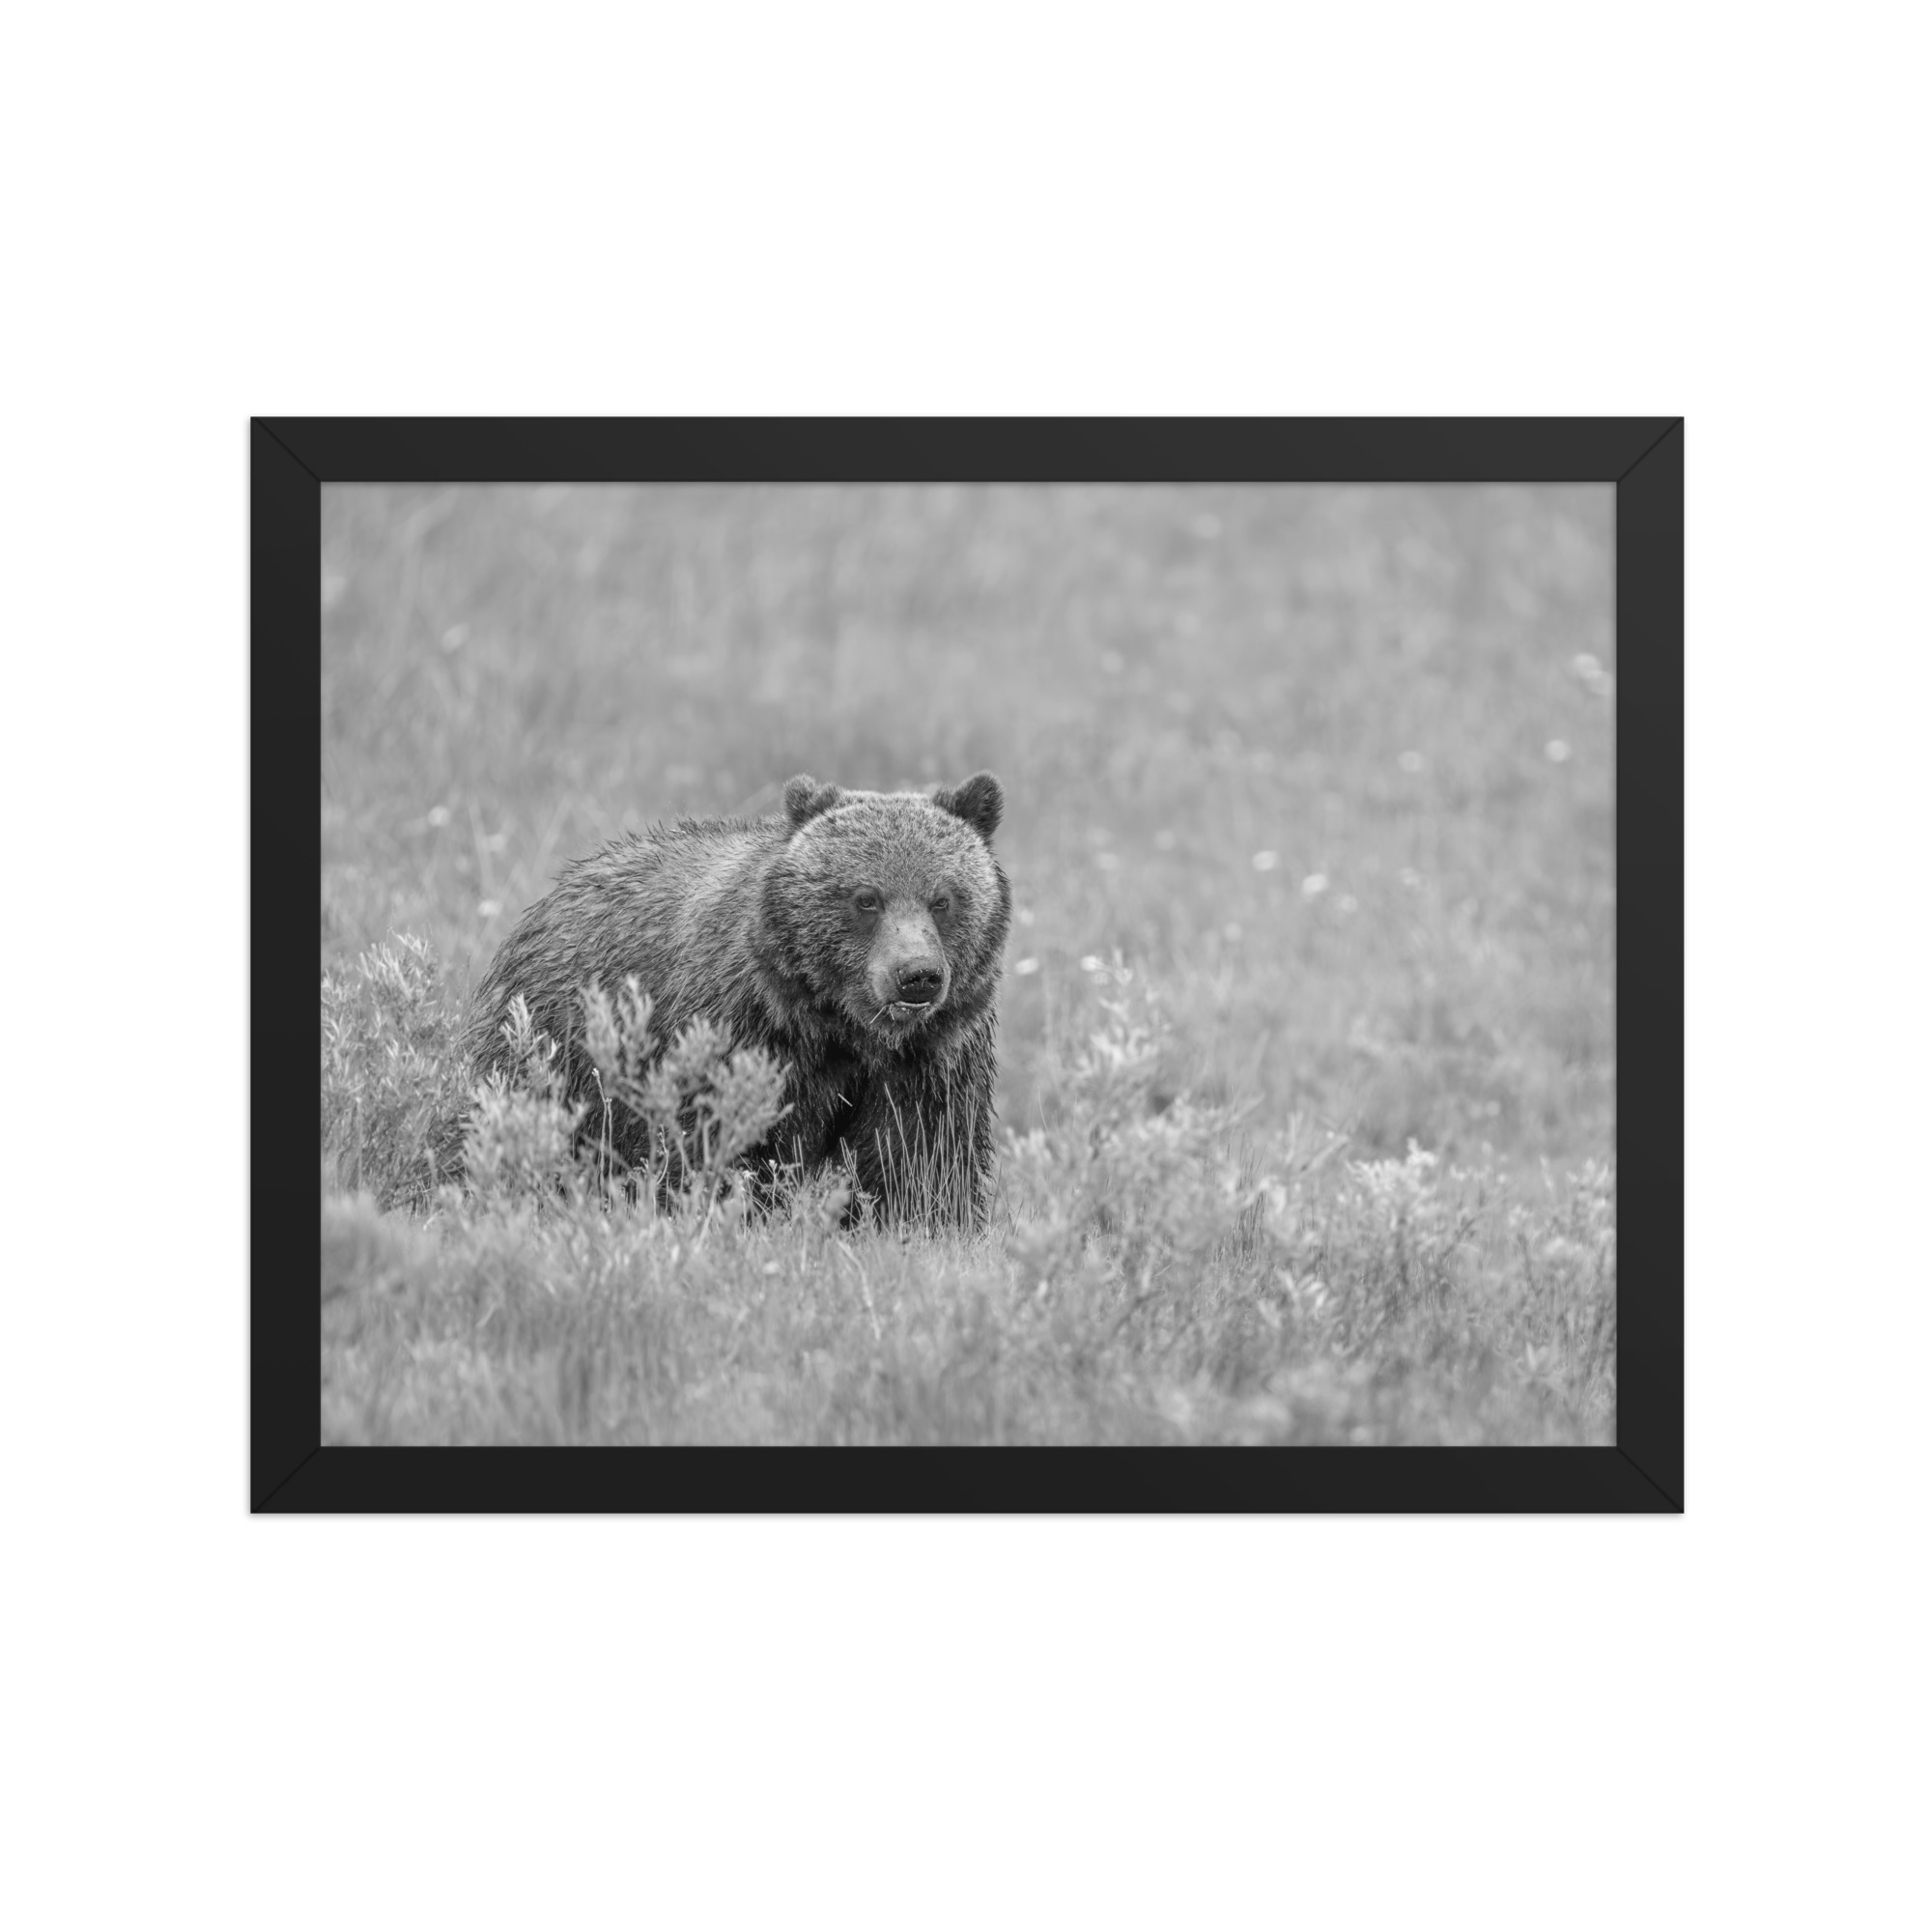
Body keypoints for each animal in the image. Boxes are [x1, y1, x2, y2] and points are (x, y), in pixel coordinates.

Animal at [456, 771, 1010, 1227]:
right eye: (866, 898)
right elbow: (724, 1142)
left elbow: (922, 1160)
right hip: (556, 1045)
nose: (917, 976)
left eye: (943, 899)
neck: (842, 1028)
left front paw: (923, 1224)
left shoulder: (931, 1058)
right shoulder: (743, 1031)